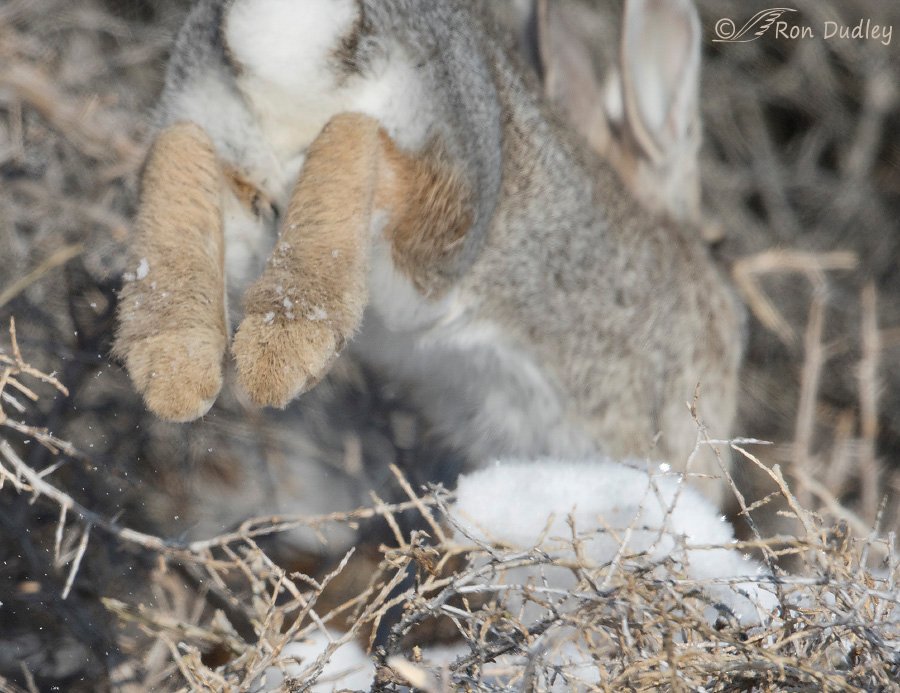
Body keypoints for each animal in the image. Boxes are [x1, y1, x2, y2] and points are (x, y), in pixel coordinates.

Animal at [116, 0, 740, 502]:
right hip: (453, 203)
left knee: (181, 145)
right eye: (718, 244)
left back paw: (172, 363)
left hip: (233, 160)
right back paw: (283, 353)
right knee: (362, 140)